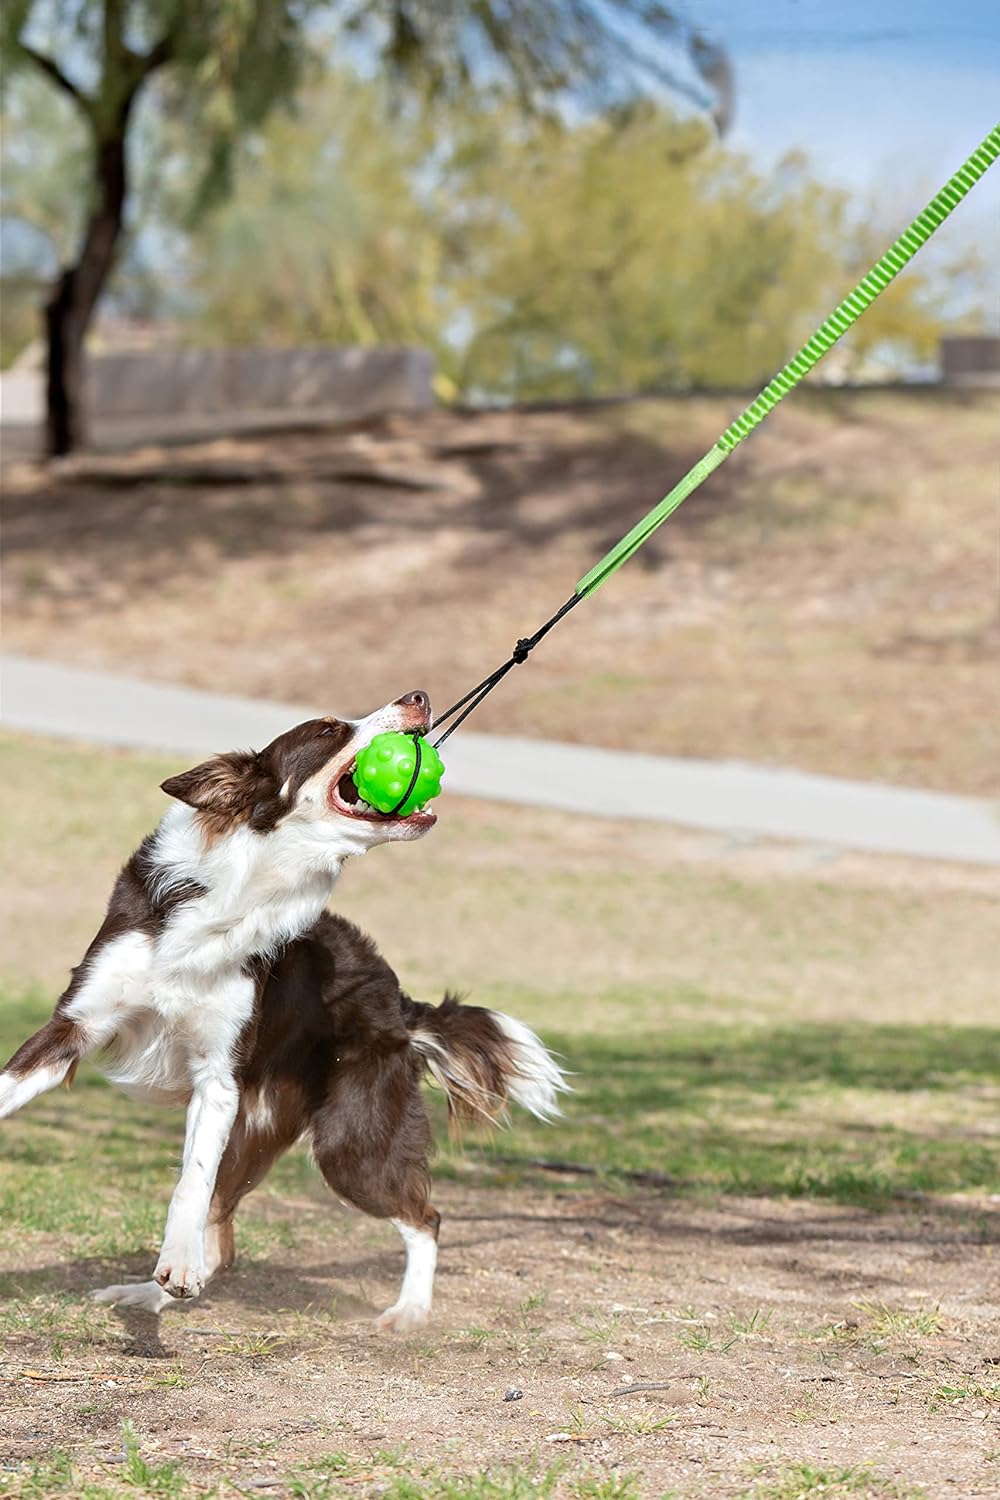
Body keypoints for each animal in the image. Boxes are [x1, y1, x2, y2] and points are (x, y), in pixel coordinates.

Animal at [0, 696, 563, 1332]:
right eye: (328, 729)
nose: (418, 698)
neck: (245, 886)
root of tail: (398, 998)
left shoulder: (219, 1079)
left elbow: (189, 1183)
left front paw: (177, 1264)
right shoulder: (74, 1026)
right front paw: (170, 1275)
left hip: (349, 1142)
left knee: (425, 1217)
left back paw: (409, 1310)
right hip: (264, 1133)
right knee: (223, 1235)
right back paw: (147, 1295)